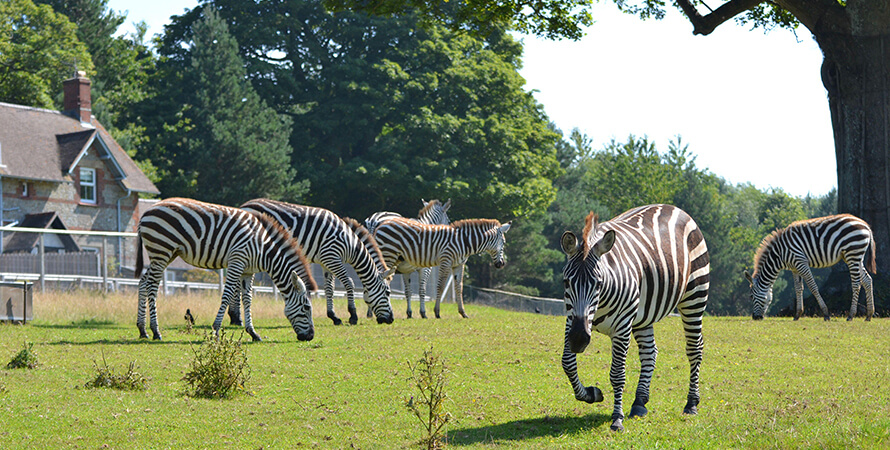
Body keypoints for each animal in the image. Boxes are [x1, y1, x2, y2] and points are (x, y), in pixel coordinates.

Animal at [134, 197, 318, 342]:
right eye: (306, 308)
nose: (310, 337)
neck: (263, 249)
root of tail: (146, 212)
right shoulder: (237, 261)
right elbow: (228, 294)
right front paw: (215, 330)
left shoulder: (248, 271)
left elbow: (248, 299)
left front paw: (253, 333)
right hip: (161, 250)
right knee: (152, 286)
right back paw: (156, 331)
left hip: (166, 254)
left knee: (143, 283)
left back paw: (142, 330)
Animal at [234, 199, 394, 326]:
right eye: (388, 292)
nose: (391, 320)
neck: (350, 244)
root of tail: (243, 206)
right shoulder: (332, 257)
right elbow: (349, 282)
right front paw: (353, 315)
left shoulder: (326, 261)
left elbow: (329, 288)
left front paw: (333, 317)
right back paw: (236, 319)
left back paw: (235, 318)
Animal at [372, 216, 510, 318]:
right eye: (503, 242)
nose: (502, 264)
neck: (464, 242)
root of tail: (381, 224)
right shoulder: (446, 261)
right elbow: (441, 286)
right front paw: (437, 312)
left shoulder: (458, 265)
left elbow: (459, 287)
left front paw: (463, 312)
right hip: (387, 255)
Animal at [560, 205, 708, 432]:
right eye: (566, 282)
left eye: (598, 283)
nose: (578, 340)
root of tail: (673, 207)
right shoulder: (572, 320)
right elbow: (567, 363)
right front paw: (591, 394)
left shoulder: (621, 327)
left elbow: (617, 374)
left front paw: (617, 419)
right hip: (642, 316)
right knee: (650, 352)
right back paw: (639, 402)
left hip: (695, 296)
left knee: (694, 348)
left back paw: (691, 403)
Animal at [744, 214, 876, 320]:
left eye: (751, 296)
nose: (755, 317)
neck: (780, 254)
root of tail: (865, 225)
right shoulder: (794, 268)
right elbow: (798, 288)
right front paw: (797, 315)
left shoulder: (801, 262)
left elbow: (813, 287)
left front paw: (826, 314)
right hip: (856, 257)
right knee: (867, 280)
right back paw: (869, 315)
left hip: (852, 253)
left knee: (856, 283)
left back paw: (851, 315)